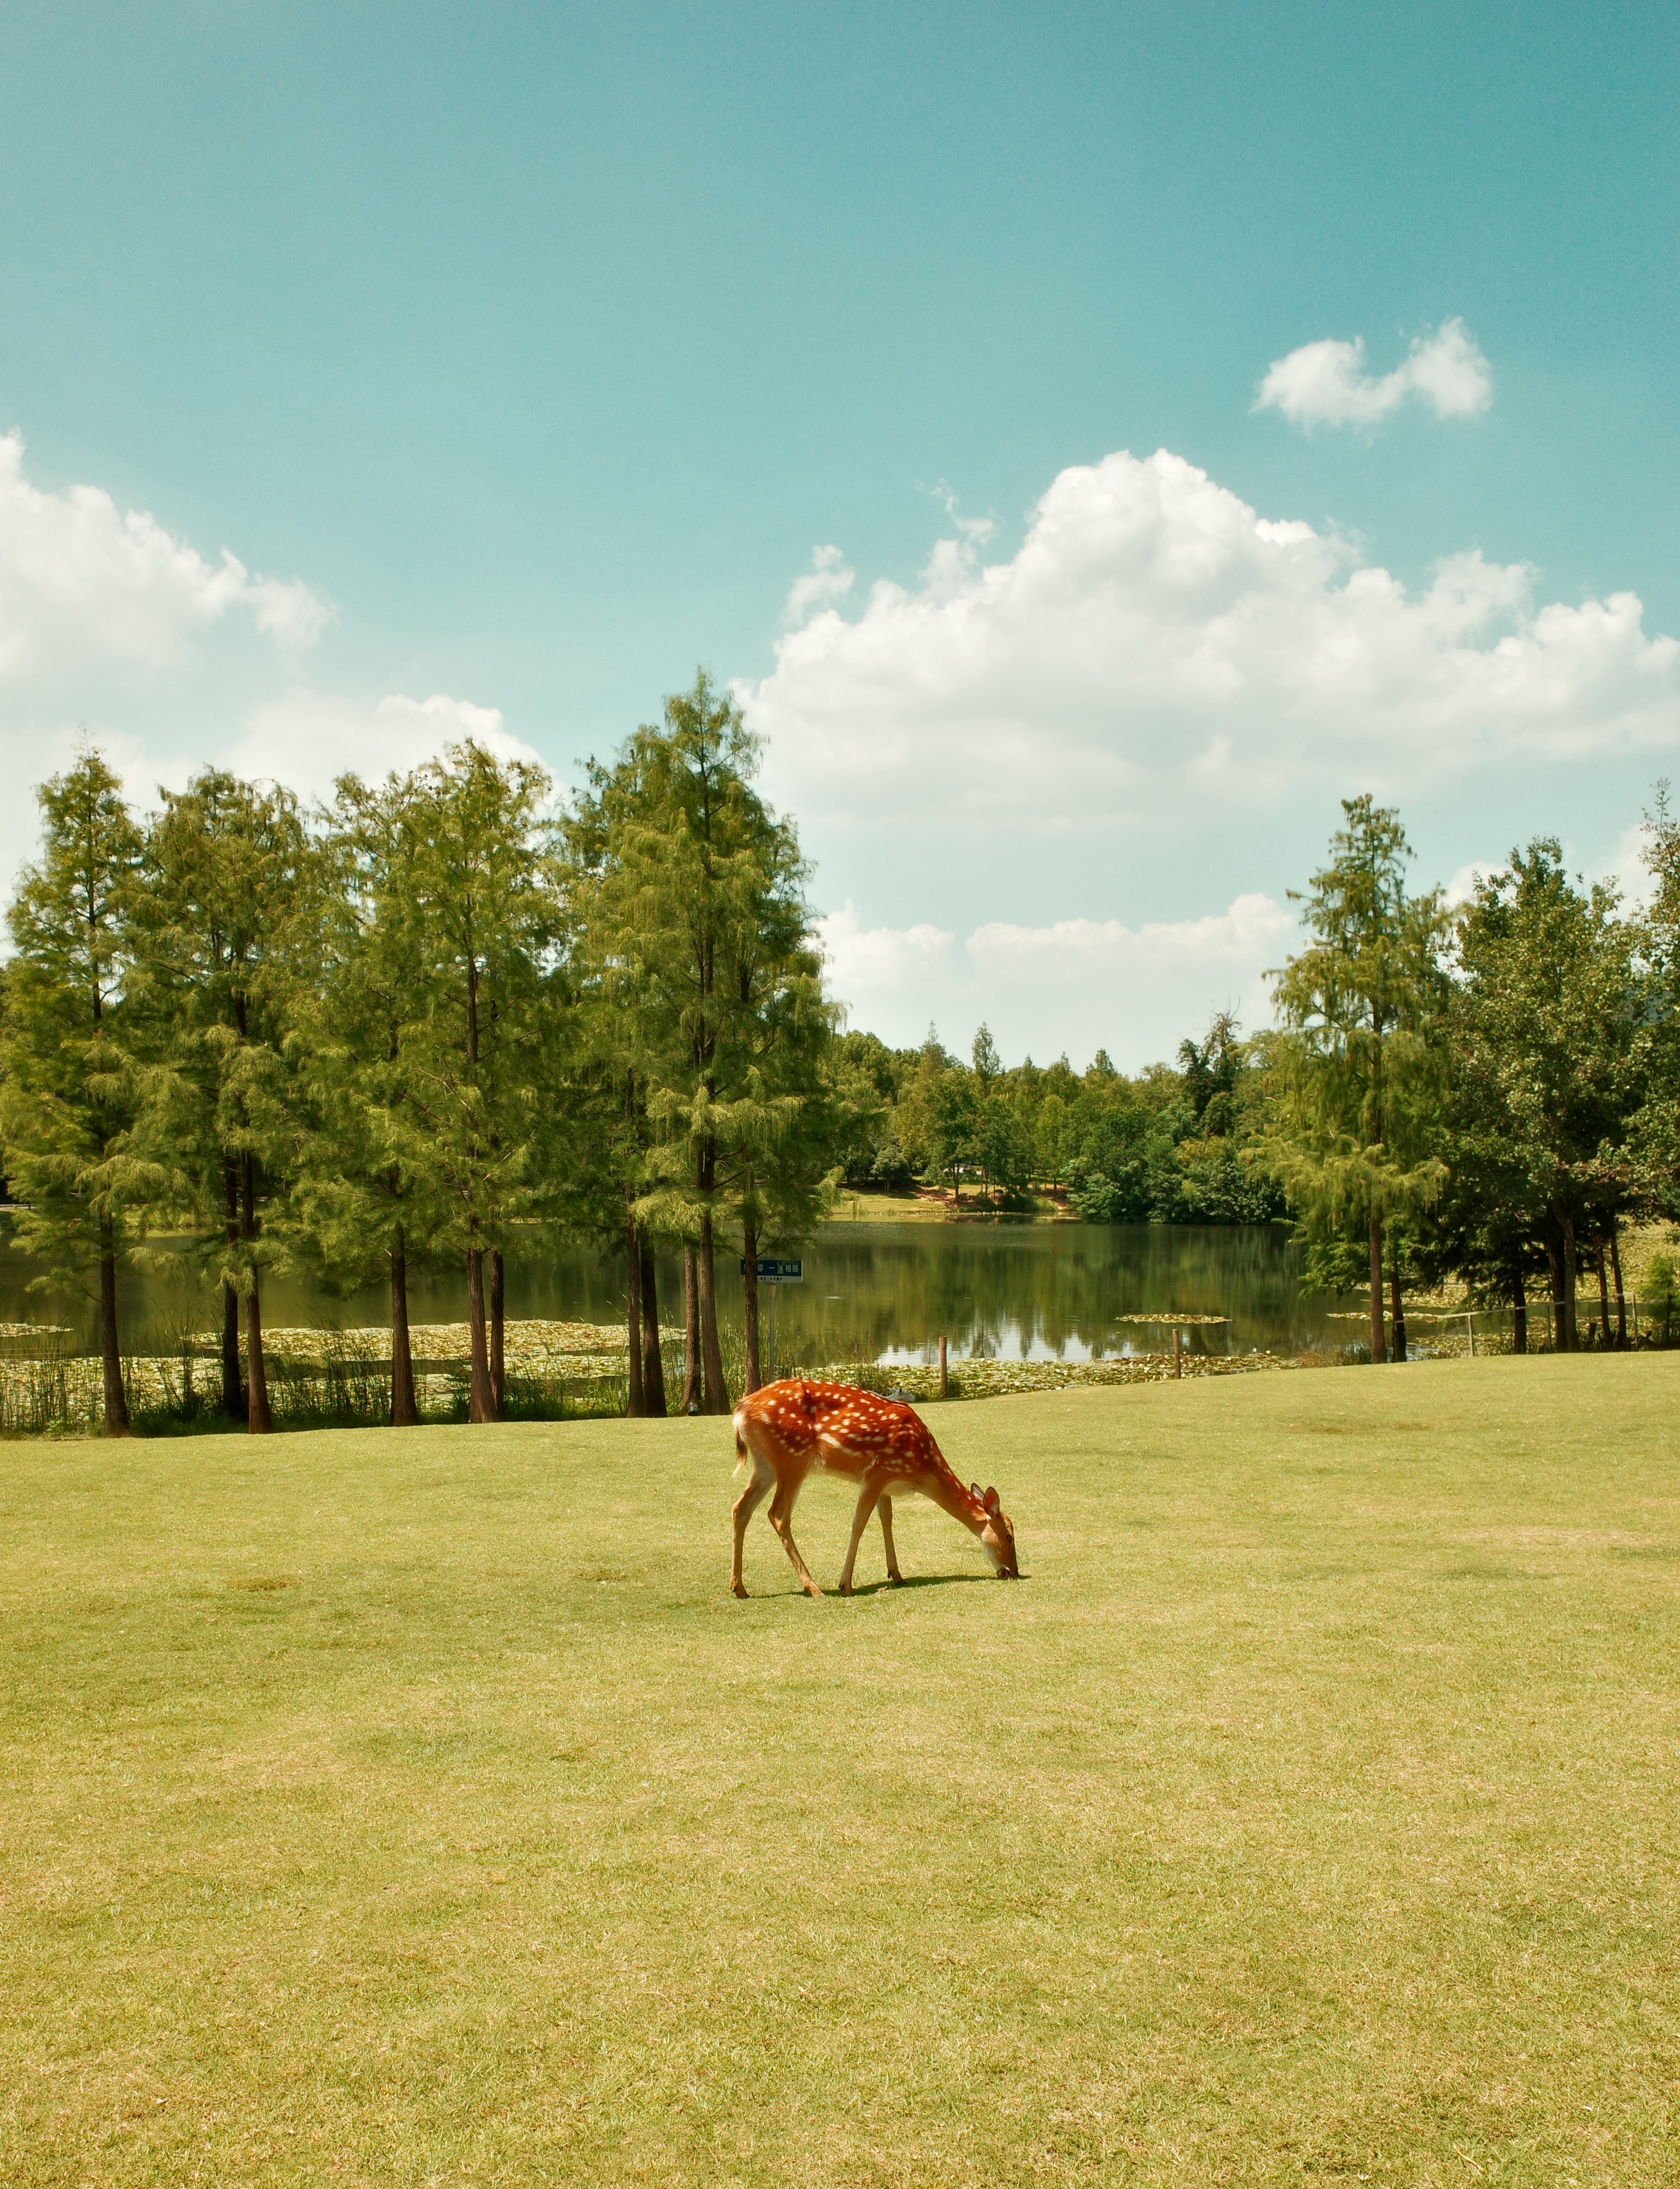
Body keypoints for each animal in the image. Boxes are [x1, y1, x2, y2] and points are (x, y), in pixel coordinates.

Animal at [729, 1377, 1020, 1598]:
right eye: (1009, 1536)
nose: (1014, 1572)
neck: (920, 1469)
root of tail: (741, 1410)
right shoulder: (877, 1472)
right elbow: (859, 1523)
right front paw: (846, 1584)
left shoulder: (886, 1484)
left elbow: (887, 1520)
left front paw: (897, 1574)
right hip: (792, 1459)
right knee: (778, 1514)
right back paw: (813, 1587)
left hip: (765, 1464)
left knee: (740, 1508)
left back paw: (739, 1588)